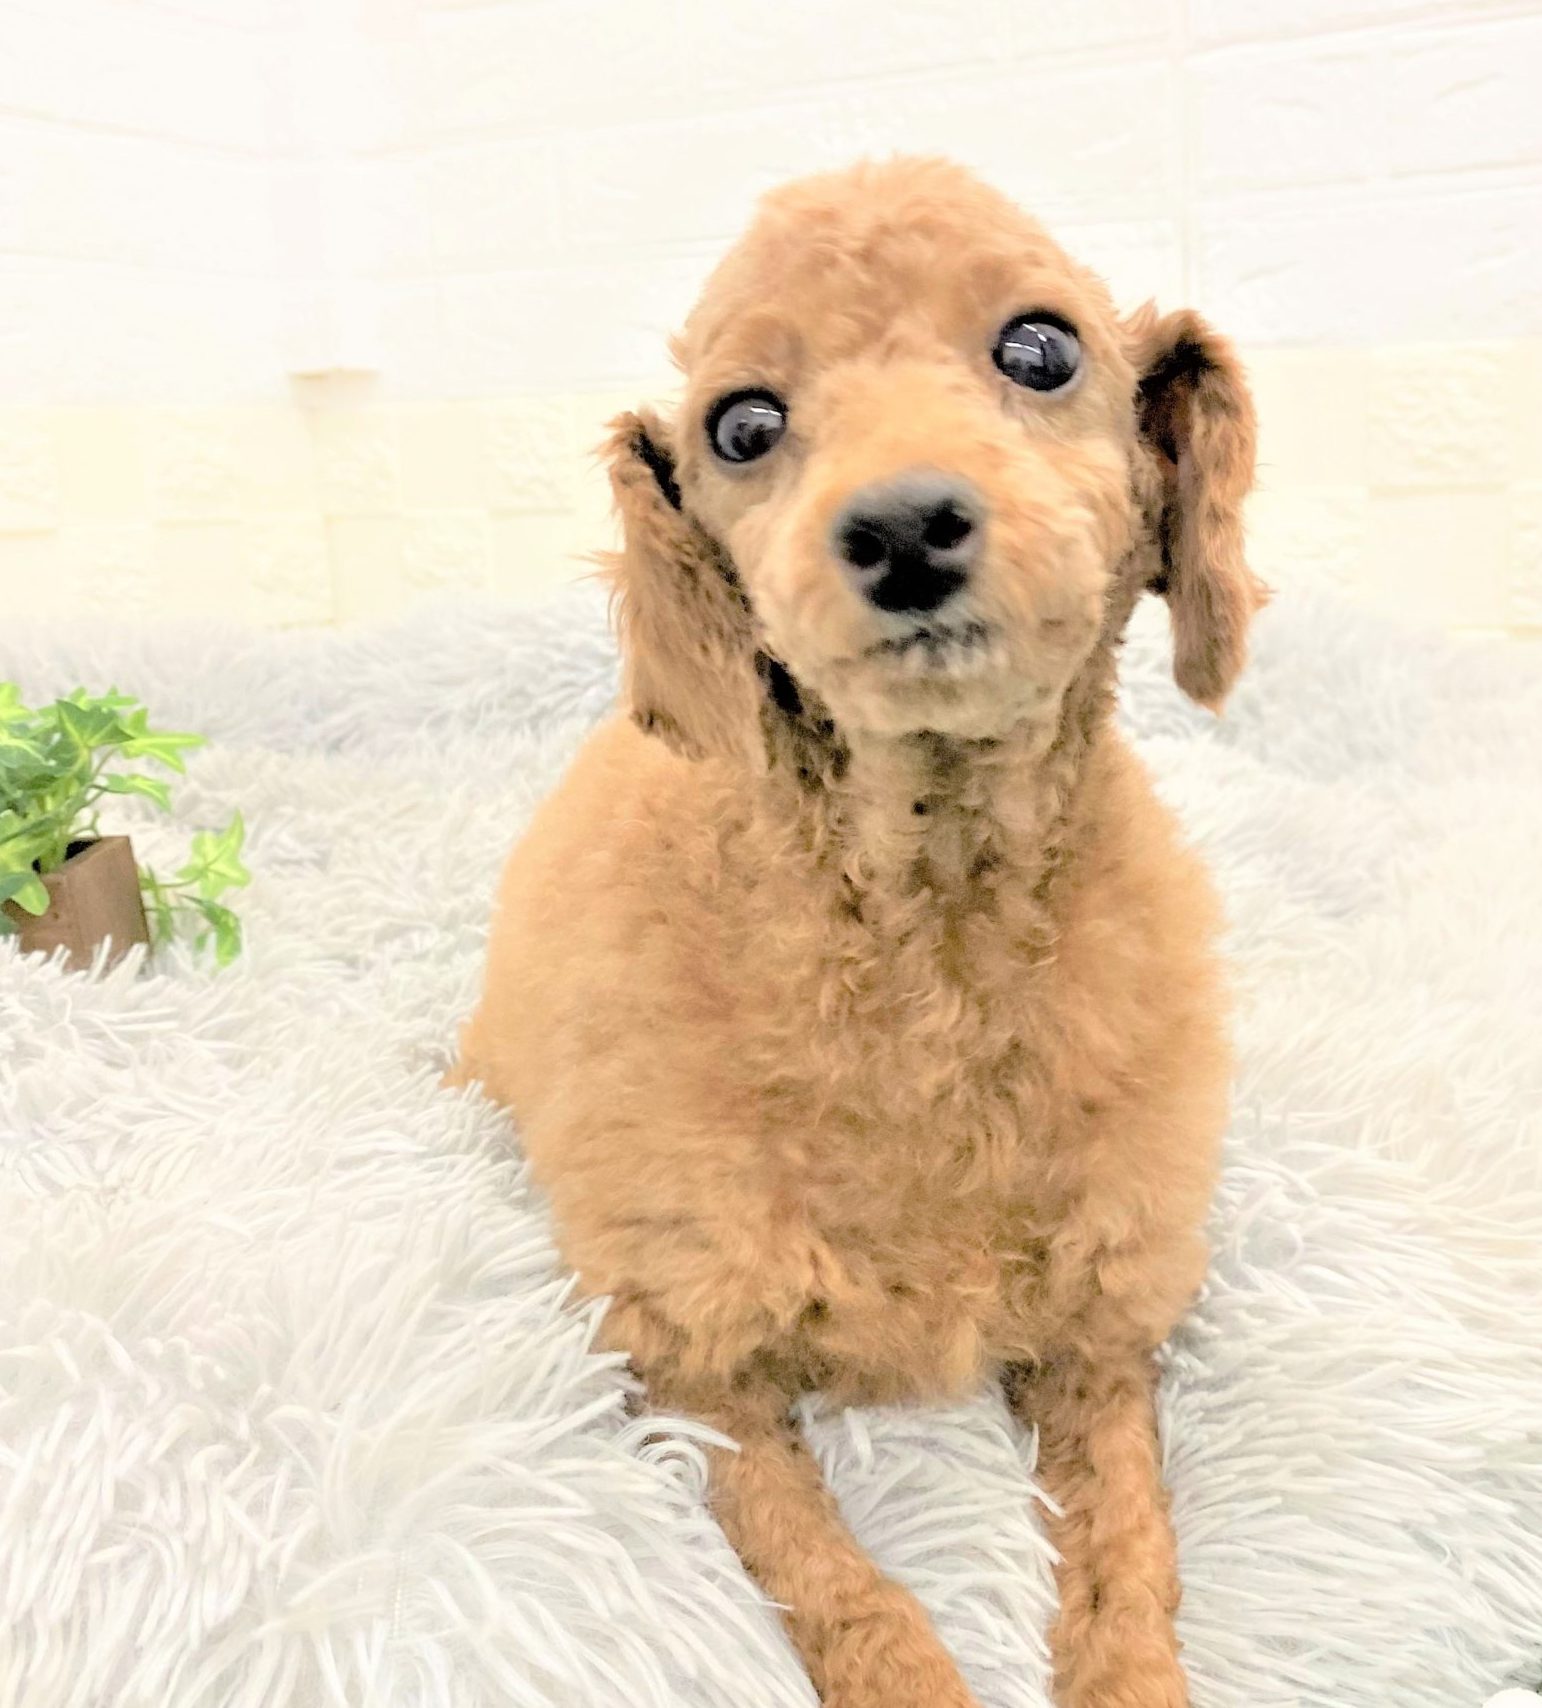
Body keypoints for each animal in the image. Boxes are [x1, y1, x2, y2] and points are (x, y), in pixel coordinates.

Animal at [457, 156, 1262, 1708]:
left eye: (1041, 347)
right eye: (743, 424)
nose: (898, 527)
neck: (931, 923)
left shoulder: (1097, 1331)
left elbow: (1129, 1548)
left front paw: (1127, 1668)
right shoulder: (692, 1365)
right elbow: (838, 1581)